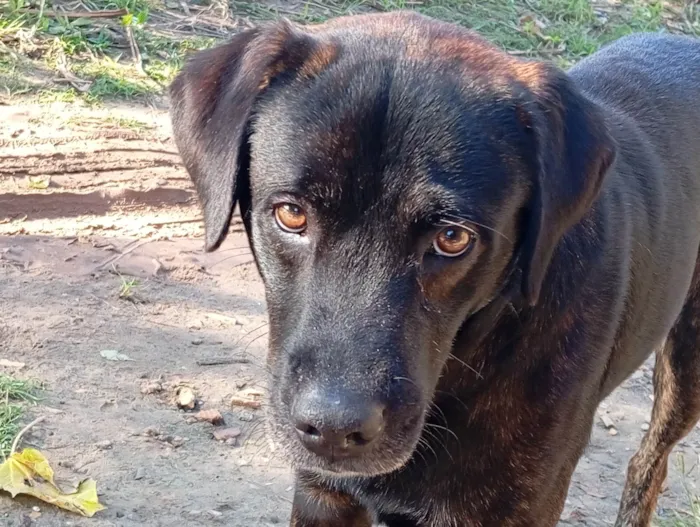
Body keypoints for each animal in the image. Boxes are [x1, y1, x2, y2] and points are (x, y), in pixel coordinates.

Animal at [168, 12, 700, 527]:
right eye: (291, 214)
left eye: (452, 238)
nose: (335, 429)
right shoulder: (323, 497)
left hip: (685, 374)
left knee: (650, 462)